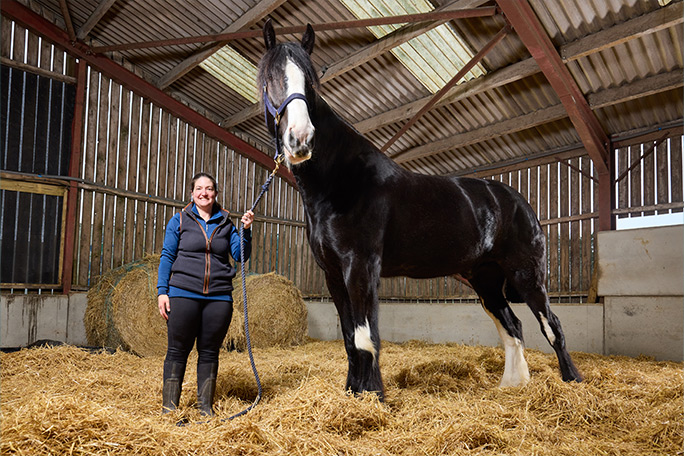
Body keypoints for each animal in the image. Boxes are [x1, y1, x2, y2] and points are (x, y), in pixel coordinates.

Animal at [257, 19, 582, 400]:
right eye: (271, 77)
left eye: (310, 81)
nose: (300, 139)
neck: (342, 181)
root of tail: (519, 202)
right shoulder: (334, 274)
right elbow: (350, 339)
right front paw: (354, 393)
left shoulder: (361, 267)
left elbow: (366, 338)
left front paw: (374, 397)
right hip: (485, 279)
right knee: (512, 325)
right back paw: (511, 385)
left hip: (526, 274)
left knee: (552, 325)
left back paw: (572, 381)